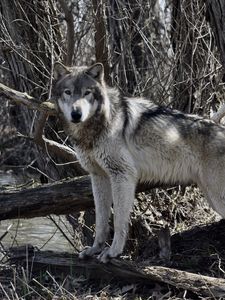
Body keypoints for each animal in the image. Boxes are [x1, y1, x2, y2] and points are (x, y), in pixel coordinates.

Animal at [52, 63, 225, 262]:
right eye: (68, 92)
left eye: (87, 92)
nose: (76, 114)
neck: (96, 128)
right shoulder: (98, 177)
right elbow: (101, 220)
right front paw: (95, 249)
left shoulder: (122, 175)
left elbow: (119, 220)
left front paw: (113, 252)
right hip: (211, 197)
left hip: (216, 198)